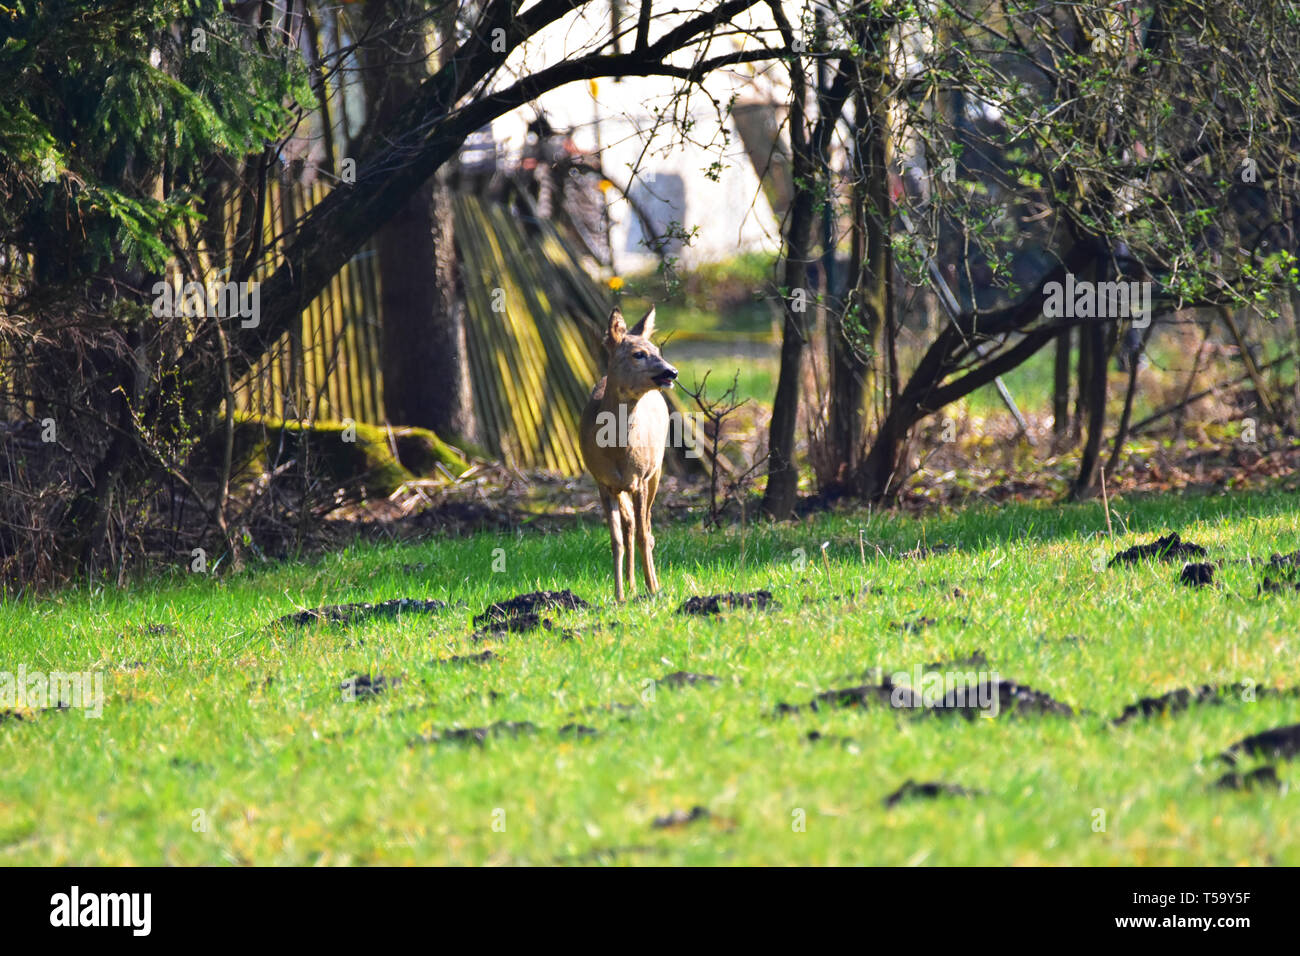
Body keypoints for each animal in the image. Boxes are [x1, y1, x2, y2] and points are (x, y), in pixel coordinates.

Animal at [582, 306, 681, 600]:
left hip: (656, 471)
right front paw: (619, 595)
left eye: (657, 349)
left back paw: (649, 584)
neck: (617, 451)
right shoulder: (602, 483)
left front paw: (653, 589)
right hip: (622, 487)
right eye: (638, 354)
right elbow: (616, 540)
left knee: (645, 527)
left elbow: (642, 534)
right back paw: (631, 584)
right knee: (629, 527)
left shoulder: (640, 478)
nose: (672, 371)